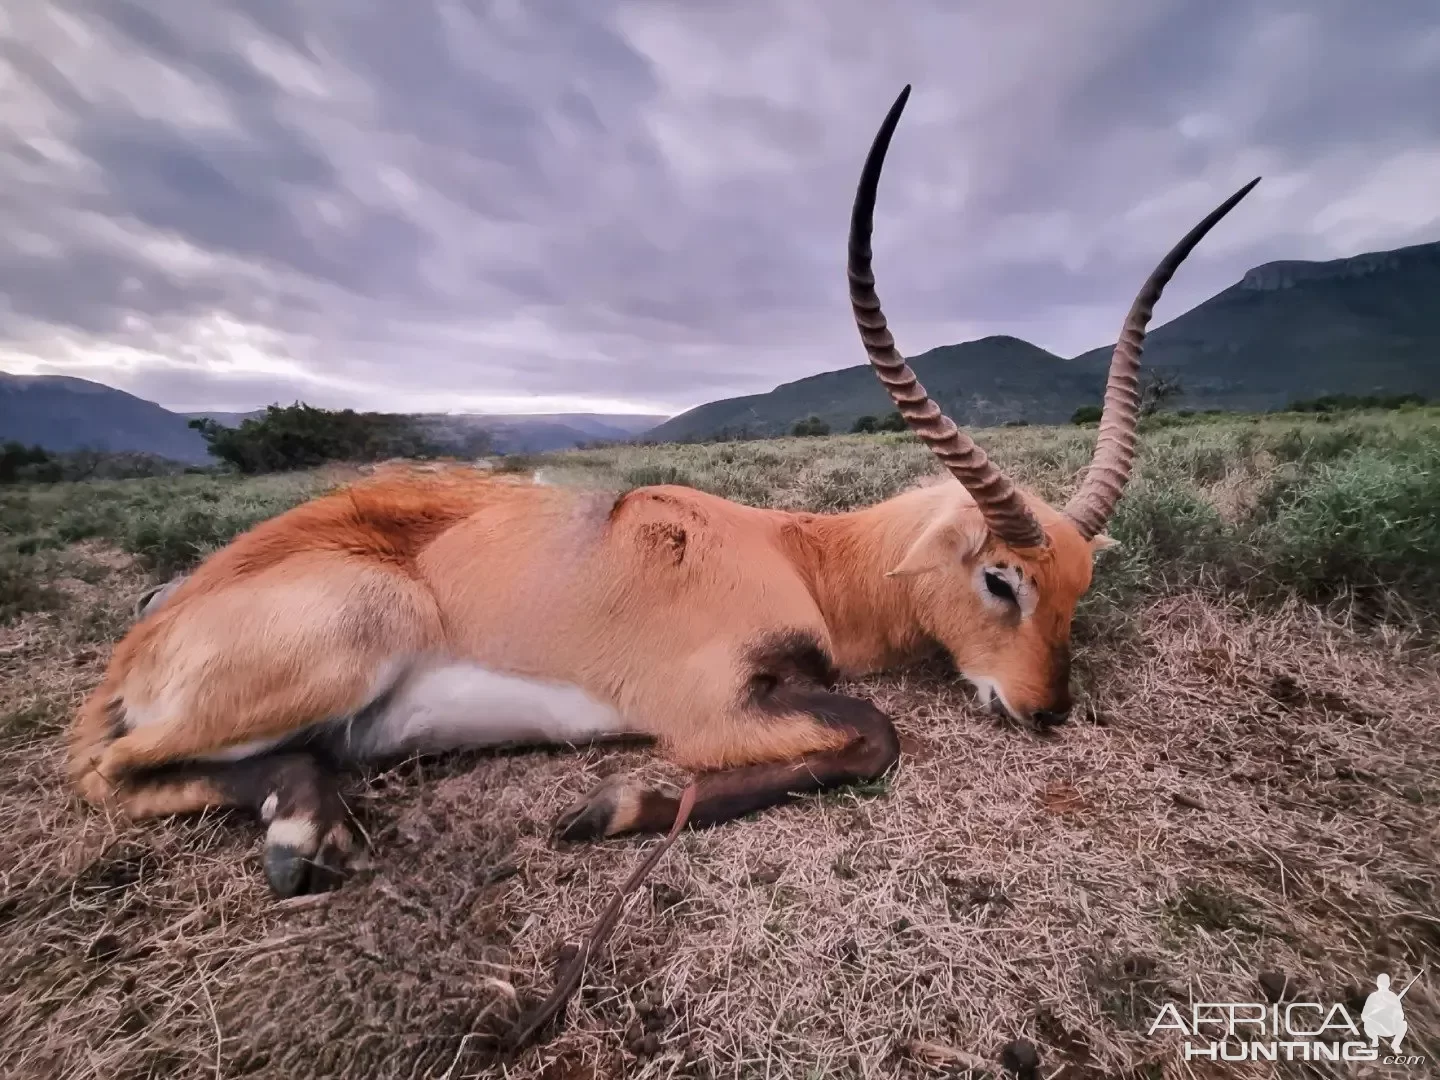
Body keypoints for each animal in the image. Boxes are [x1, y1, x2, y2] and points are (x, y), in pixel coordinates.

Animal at [70, 82, 1261, 898]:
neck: (796, 549)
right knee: (108, 771)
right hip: (353, 635)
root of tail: (151, 632)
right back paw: (298, 835)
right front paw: (615, 803)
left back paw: (308, 823)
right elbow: (873, 736)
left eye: (1078, 590)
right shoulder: (710, 704)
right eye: (1001, 578)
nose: (1046, 709)